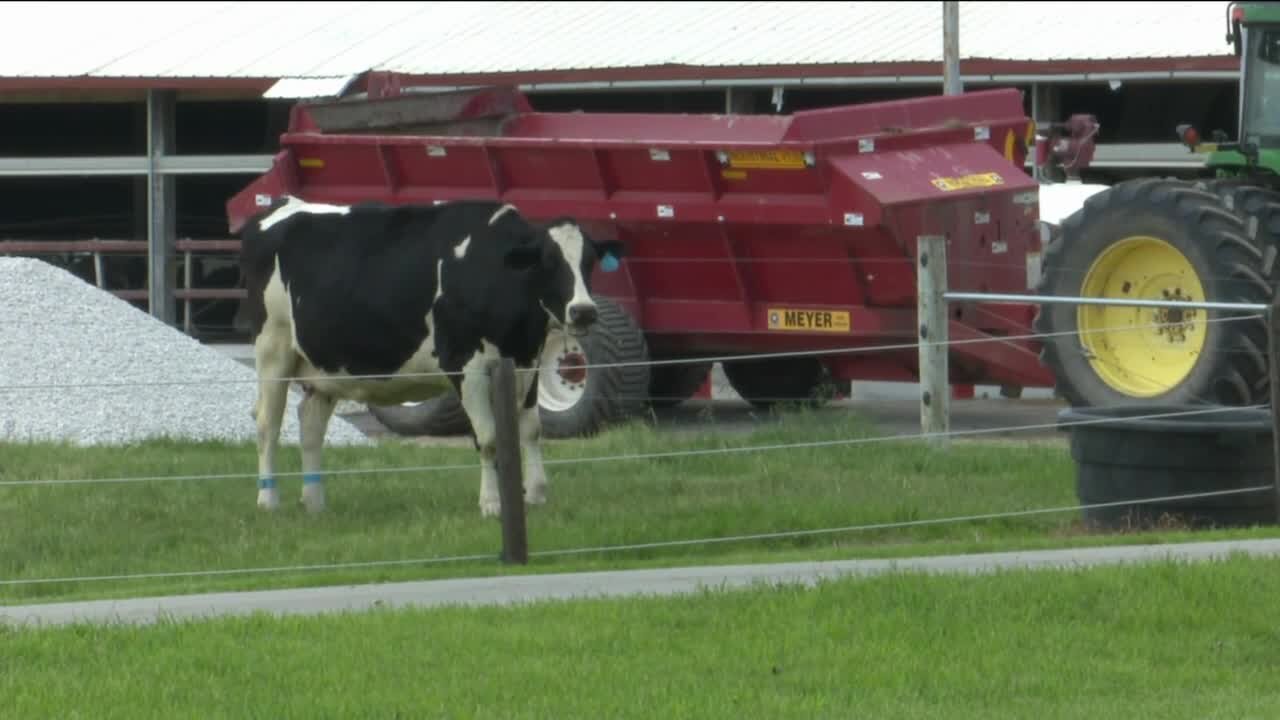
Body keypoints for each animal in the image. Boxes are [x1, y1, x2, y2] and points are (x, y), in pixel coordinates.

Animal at [239, 193, 624, 512]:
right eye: (548, 261)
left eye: (589, 261)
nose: (584, 311)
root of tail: (282, 205)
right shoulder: (466, 366)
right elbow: (488, 439)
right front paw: (492, 504)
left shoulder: (527, 364)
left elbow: (530, 431)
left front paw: (537, 495)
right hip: (272, 349)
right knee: (268, 423)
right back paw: (268, 499)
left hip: (322, 367)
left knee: (310, 424)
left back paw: (315, 501)